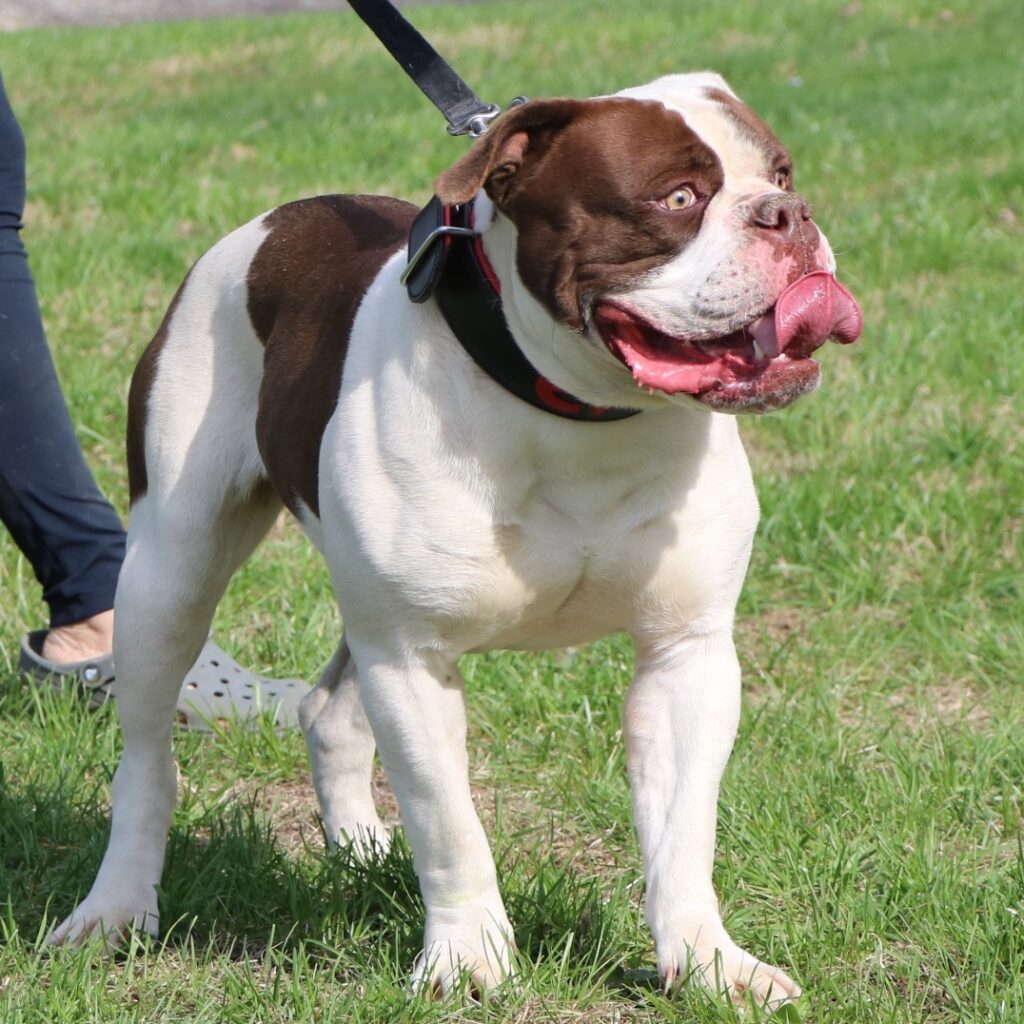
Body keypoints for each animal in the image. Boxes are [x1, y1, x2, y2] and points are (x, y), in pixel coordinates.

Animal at [49, 74, 864, 1007]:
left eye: (782, 171)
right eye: (678, 199)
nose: (788, 214)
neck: (576, 411)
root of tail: (280, 218)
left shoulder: (685, 655)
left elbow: (682, 828)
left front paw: (706, 960)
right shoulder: (412, 658)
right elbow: (449, 823)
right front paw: (469, 955)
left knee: (330, 709)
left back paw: (362, 849)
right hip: (169, 575)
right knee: (148, 759)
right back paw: (114, 909)